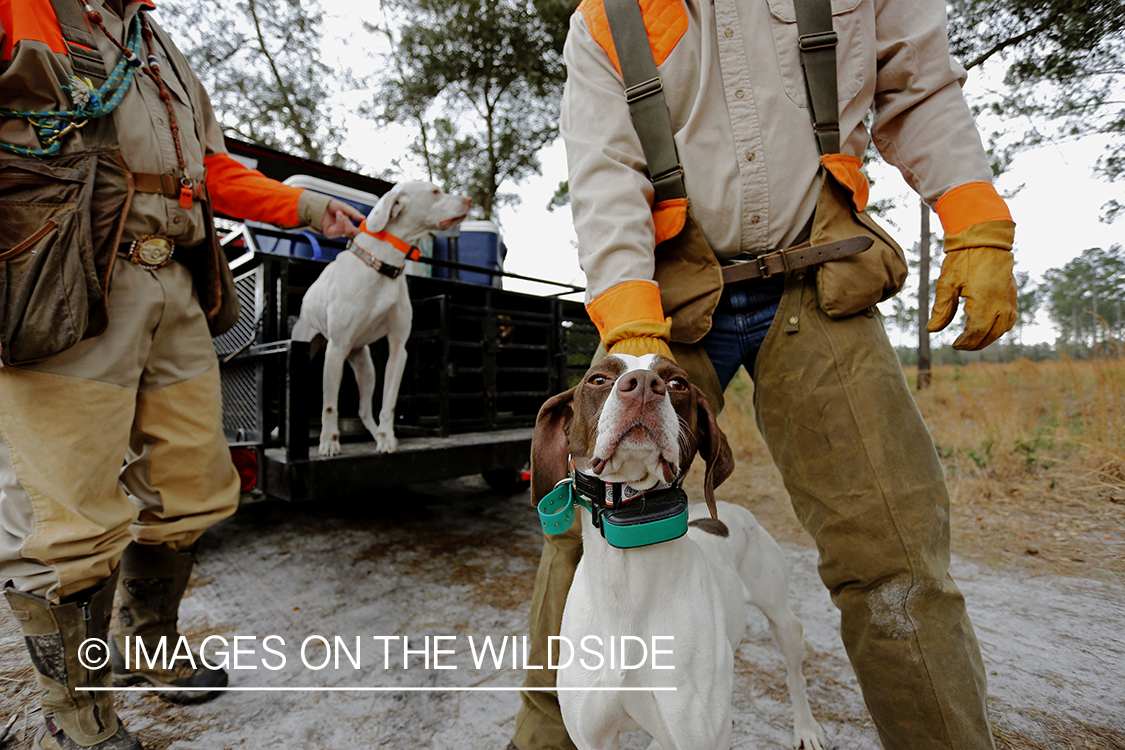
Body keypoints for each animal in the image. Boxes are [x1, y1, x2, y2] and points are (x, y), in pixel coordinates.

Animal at [292, 182, 472, 458]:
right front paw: (329, 441)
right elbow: (330, 405)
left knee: (364, 409)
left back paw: (376, 432)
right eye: (434, 192)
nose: (470, 200)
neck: (383, 265)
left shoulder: (398, 349)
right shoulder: (336, 349)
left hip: (365, 367)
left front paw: (386, 438)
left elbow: (389, 403)